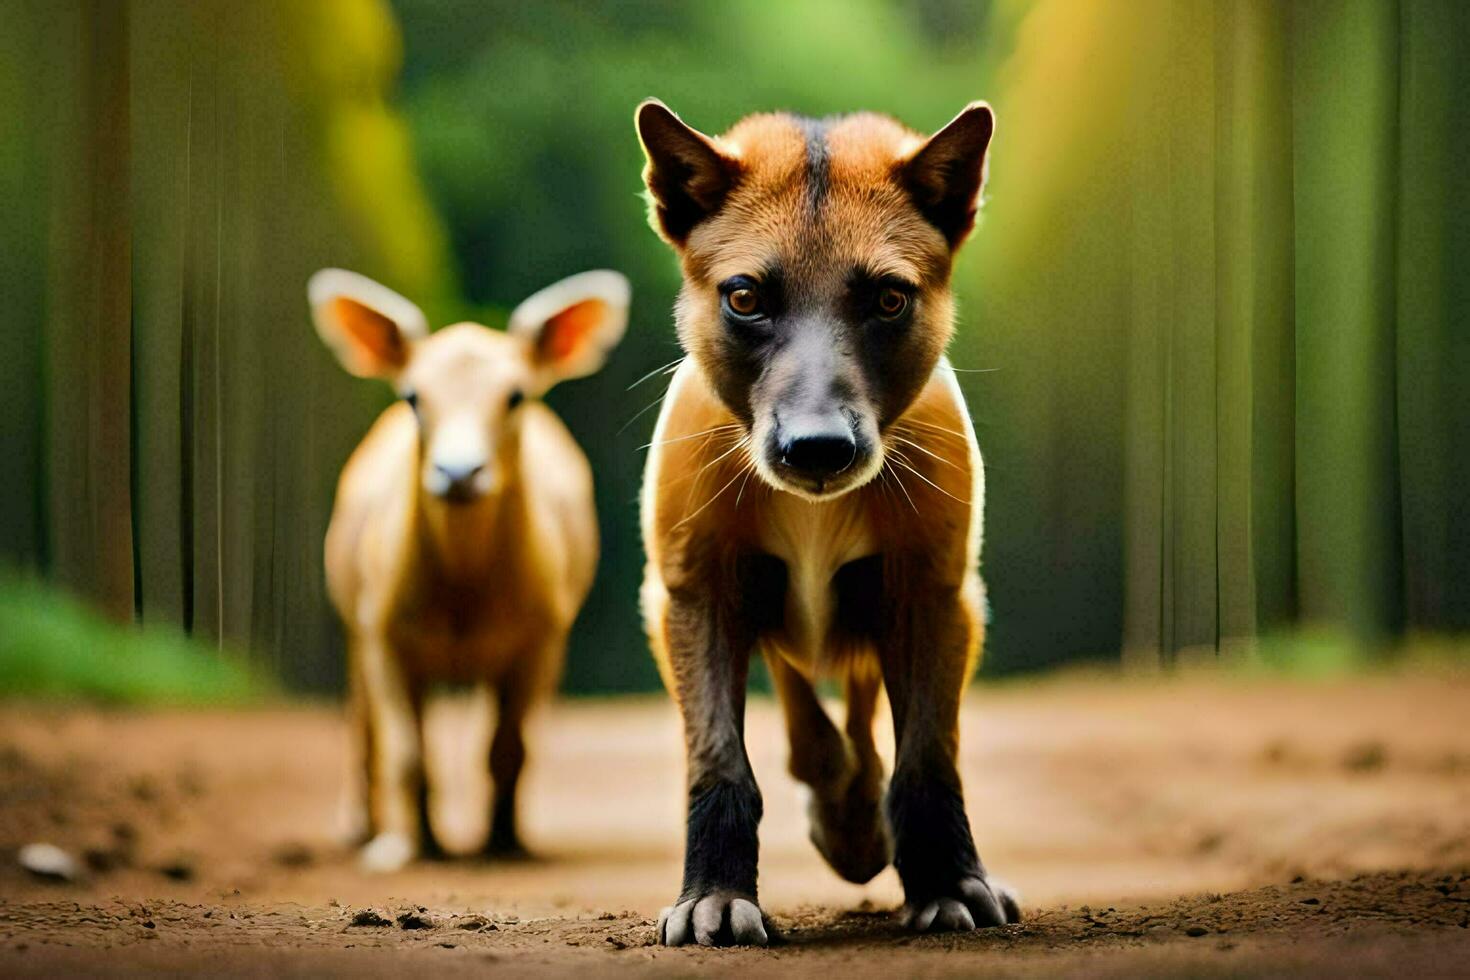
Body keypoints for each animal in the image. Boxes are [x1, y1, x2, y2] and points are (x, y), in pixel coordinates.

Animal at [637, 97, 1017, 940]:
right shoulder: (695, 592)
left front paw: (949, 883)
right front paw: (715, 897)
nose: (817, 448)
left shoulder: (933, 595)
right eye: (745, 297)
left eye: (889, 299)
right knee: (805, 718)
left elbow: (926, 760)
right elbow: (719, 762)